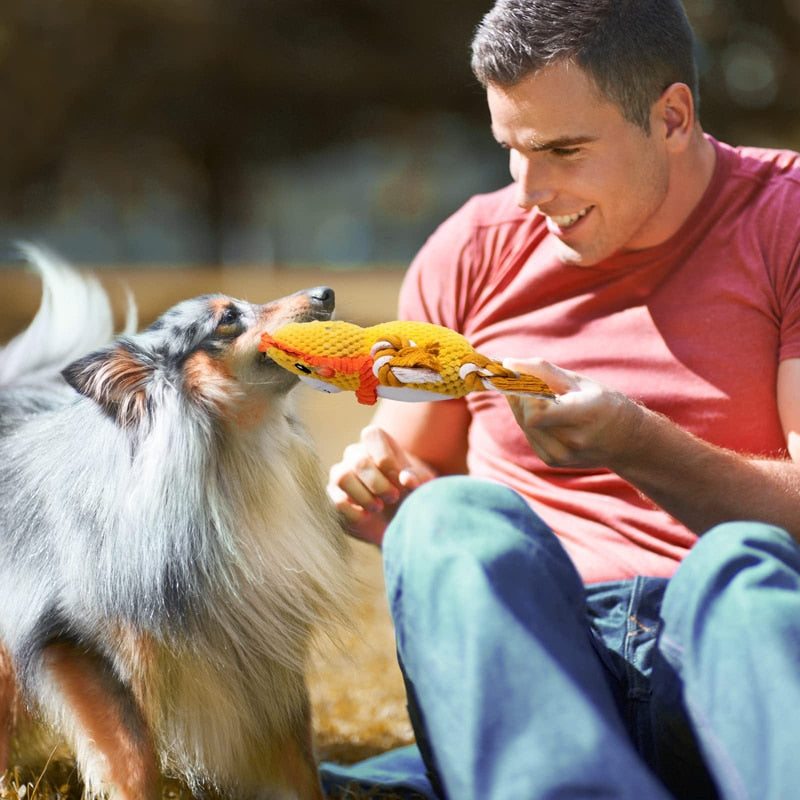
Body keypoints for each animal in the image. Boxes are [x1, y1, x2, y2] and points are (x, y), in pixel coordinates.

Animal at [0, 247, 354, 796]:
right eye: (228, 318)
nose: (326, 293)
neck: (232, 465)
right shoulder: (80, 645)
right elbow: (131, 756)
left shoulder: (266, 644)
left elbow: (297, 760)